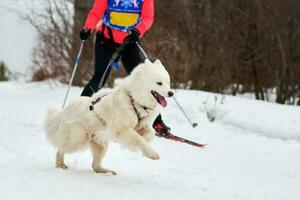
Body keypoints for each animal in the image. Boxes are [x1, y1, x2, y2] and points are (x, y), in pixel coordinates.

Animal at [43, 59, 172, 175]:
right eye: (159, 83)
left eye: (168, 83)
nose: (171, 93)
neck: (134, 100)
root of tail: (66, 109)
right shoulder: (122, 129)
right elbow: (137, 138)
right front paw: (152, 153)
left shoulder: (142, 126)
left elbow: (149, 135)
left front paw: (139, 143)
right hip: (77, 137)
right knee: (61, 148)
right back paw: (60, 164)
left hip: (100, 144)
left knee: (95, 166)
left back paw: (107, 171)